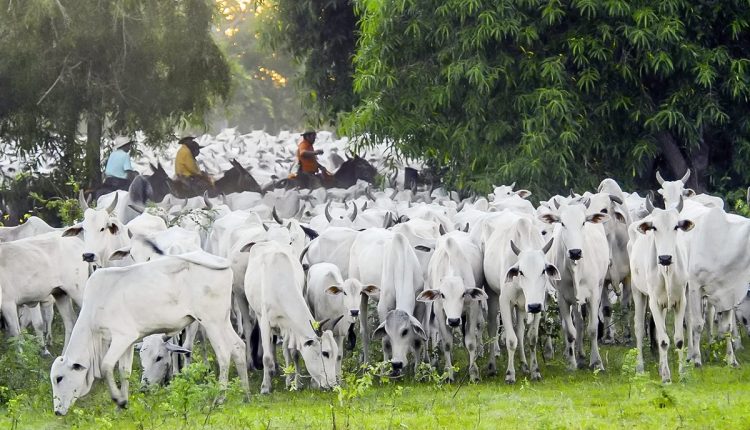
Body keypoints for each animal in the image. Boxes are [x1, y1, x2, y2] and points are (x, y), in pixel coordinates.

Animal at [50, 250, 250, 414]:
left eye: (59, 378)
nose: (57, 411)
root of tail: (221, 261)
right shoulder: (129, 342)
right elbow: (124, 371)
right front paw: (123, 404)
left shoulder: (121, 337)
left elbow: (106, 365)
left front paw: (118, 400)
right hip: (222, 320)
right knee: (238, 347)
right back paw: (246, 394)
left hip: (211, 322)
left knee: (224, 354)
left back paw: (220, 398)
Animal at [244, 242, 340, 394]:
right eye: (325, 353)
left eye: (336, 353)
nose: (333, 385)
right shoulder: (266, 322)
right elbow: (266, 357)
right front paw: (265, 387)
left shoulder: (290, 326)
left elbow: (294, 353)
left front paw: (297, 383)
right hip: (258, 314)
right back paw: (273, 371)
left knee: (285, 350)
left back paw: (288, 379)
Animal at [418, 233, 488, 382]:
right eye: (443, 295)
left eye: (463, 294)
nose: (454, 321)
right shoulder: (439, 311)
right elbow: (447, 343)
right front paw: (448, 373)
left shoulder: (472, 309)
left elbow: (470, 342)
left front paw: (473, 373)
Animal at [540, 200, 612, 372]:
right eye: (562, 223)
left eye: (583, 222)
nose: (575, 252)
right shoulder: (562, 298)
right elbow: (570, 331)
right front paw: (572, 364)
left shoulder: (593, 295)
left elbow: (592, 329)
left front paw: (597, 362)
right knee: (575, 324)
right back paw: (572, 353)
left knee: (580, 323)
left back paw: (581, 353)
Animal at [628, 197, 692, 382]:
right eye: (654, 227)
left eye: (676, 226)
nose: (665, 258)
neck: (667, 271)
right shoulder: (654, 303)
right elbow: (664, 341)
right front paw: (667, 379)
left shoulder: (681, 301)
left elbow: (678, 339)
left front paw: (682, 374)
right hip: (637, 292)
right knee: (639, 328)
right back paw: (640, 368)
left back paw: (661, 368)